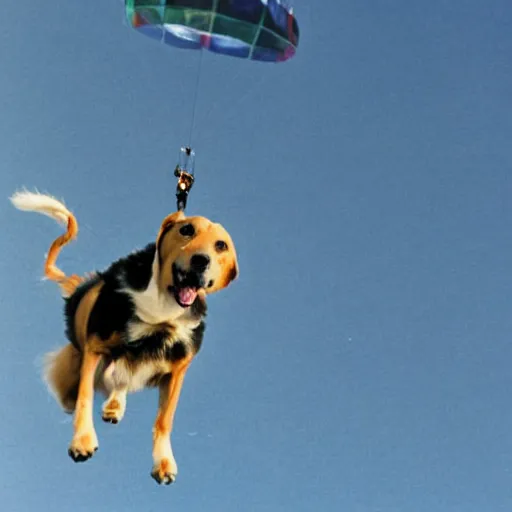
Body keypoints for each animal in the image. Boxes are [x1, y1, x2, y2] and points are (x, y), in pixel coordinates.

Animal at [10, 191, 238, 484]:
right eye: (187, 230)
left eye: (221, 245)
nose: (201, 261)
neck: (161, 311)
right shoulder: (95, 347)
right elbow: (86, 394)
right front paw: (82, 441)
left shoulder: (177, 369)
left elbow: (164, 420)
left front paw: (164, 462)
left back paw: (114, 405)